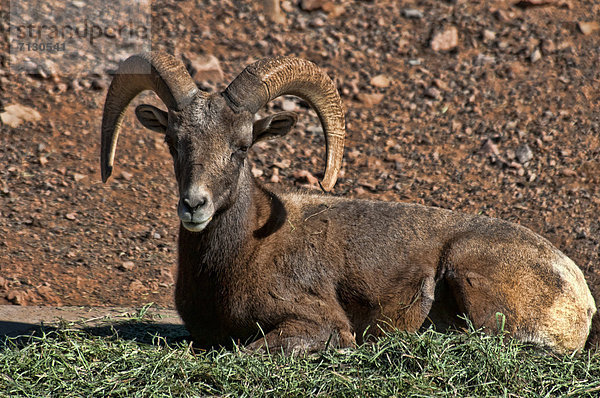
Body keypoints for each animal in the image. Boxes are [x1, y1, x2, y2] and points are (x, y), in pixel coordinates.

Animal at [99, 52, 596, 354]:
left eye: (242, 146)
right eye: (172, 143)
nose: (194, 205)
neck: (240, 255)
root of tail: (581, 297)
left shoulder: (316, 323)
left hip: (466, 271)